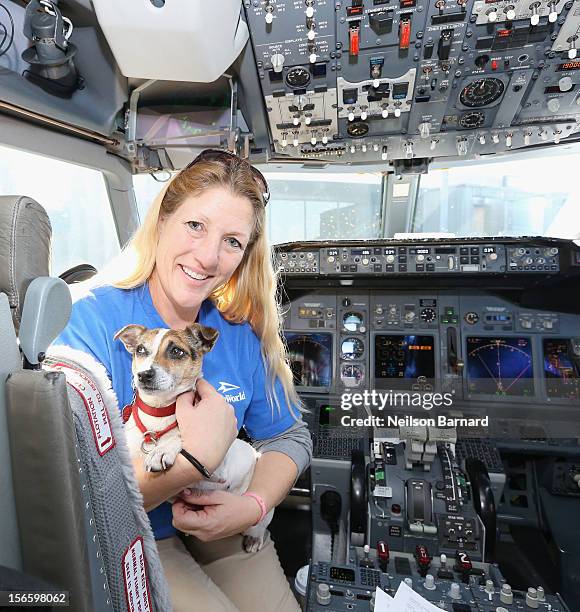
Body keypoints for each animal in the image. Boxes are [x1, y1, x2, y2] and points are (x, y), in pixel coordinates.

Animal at [116, 322, 276, 552]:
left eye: (176, 351)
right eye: (140, 350)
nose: (144, 374)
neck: (159, 415)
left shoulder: (217, 472)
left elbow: (179, 436)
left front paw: (163, 450)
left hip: (262, 512)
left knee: (259, 525)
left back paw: (254, 538)